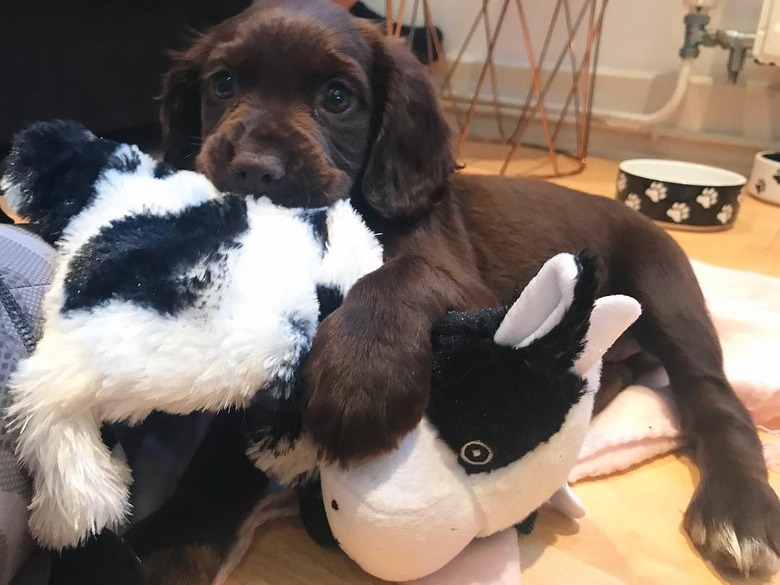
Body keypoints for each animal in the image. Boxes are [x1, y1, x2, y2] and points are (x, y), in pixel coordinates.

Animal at [160, 0, 780, 576]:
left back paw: (741, 514)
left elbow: (405, 272)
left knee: (713, 397)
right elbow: (214, 459)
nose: (253, 168)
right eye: (222, 84)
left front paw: (362, 375)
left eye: (337, 98)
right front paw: (176, 544)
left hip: (665, 292)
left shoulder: (471, 285)